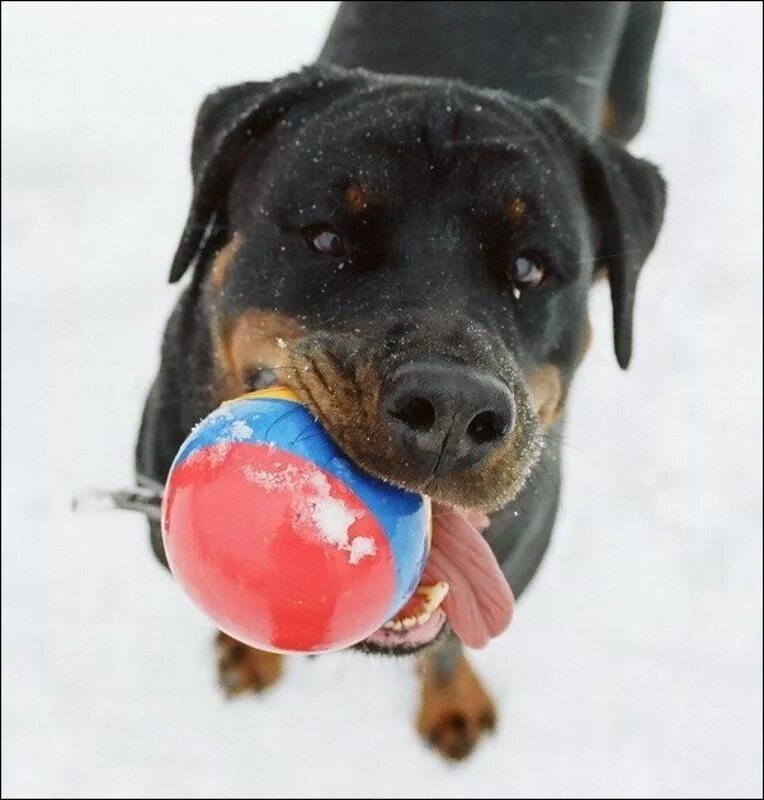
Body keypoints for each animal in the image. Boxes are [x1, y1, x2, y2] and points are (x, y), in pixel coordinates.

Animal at [136, 1, 664, 764]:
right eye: (327, 238)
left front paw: (454, 703)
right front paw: (249, 656)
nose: (452, 407)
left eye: (530, 267)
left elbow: (449, 638)